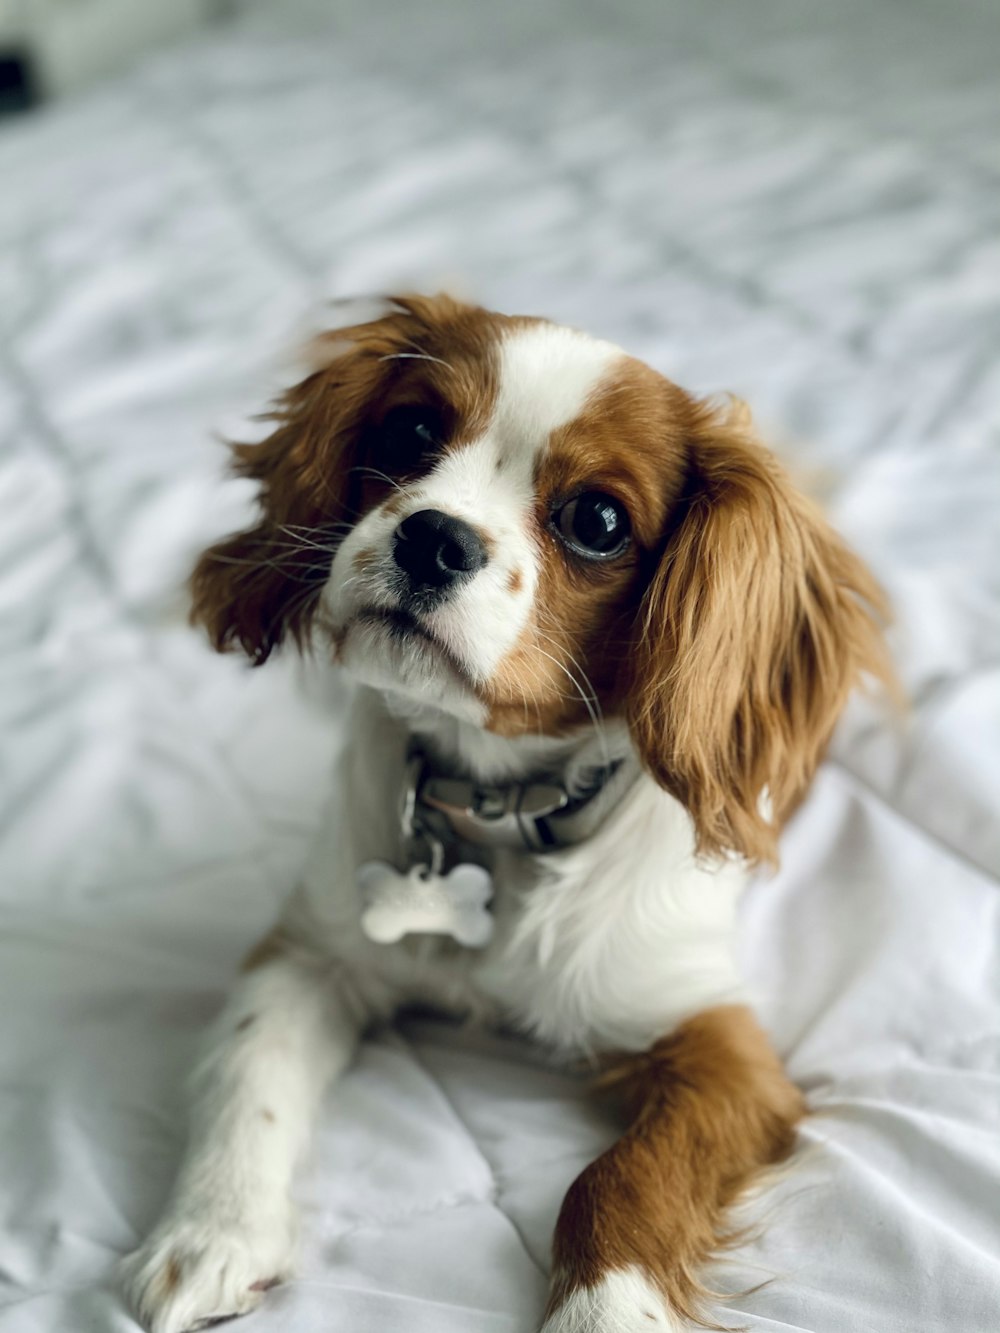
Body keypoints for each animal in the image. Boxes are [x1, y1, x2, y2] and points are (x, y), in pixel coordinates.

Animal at [117, 294, 890, 1333]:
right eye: (410, 431)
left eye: (598, 520)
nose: (433, 537)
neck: (489, 808)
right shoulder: (310, 953)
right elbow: (251, 1071)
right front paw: (211, 1232)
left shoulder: (720, 1046)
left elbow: (617, 1179)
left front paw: (609, 1313)